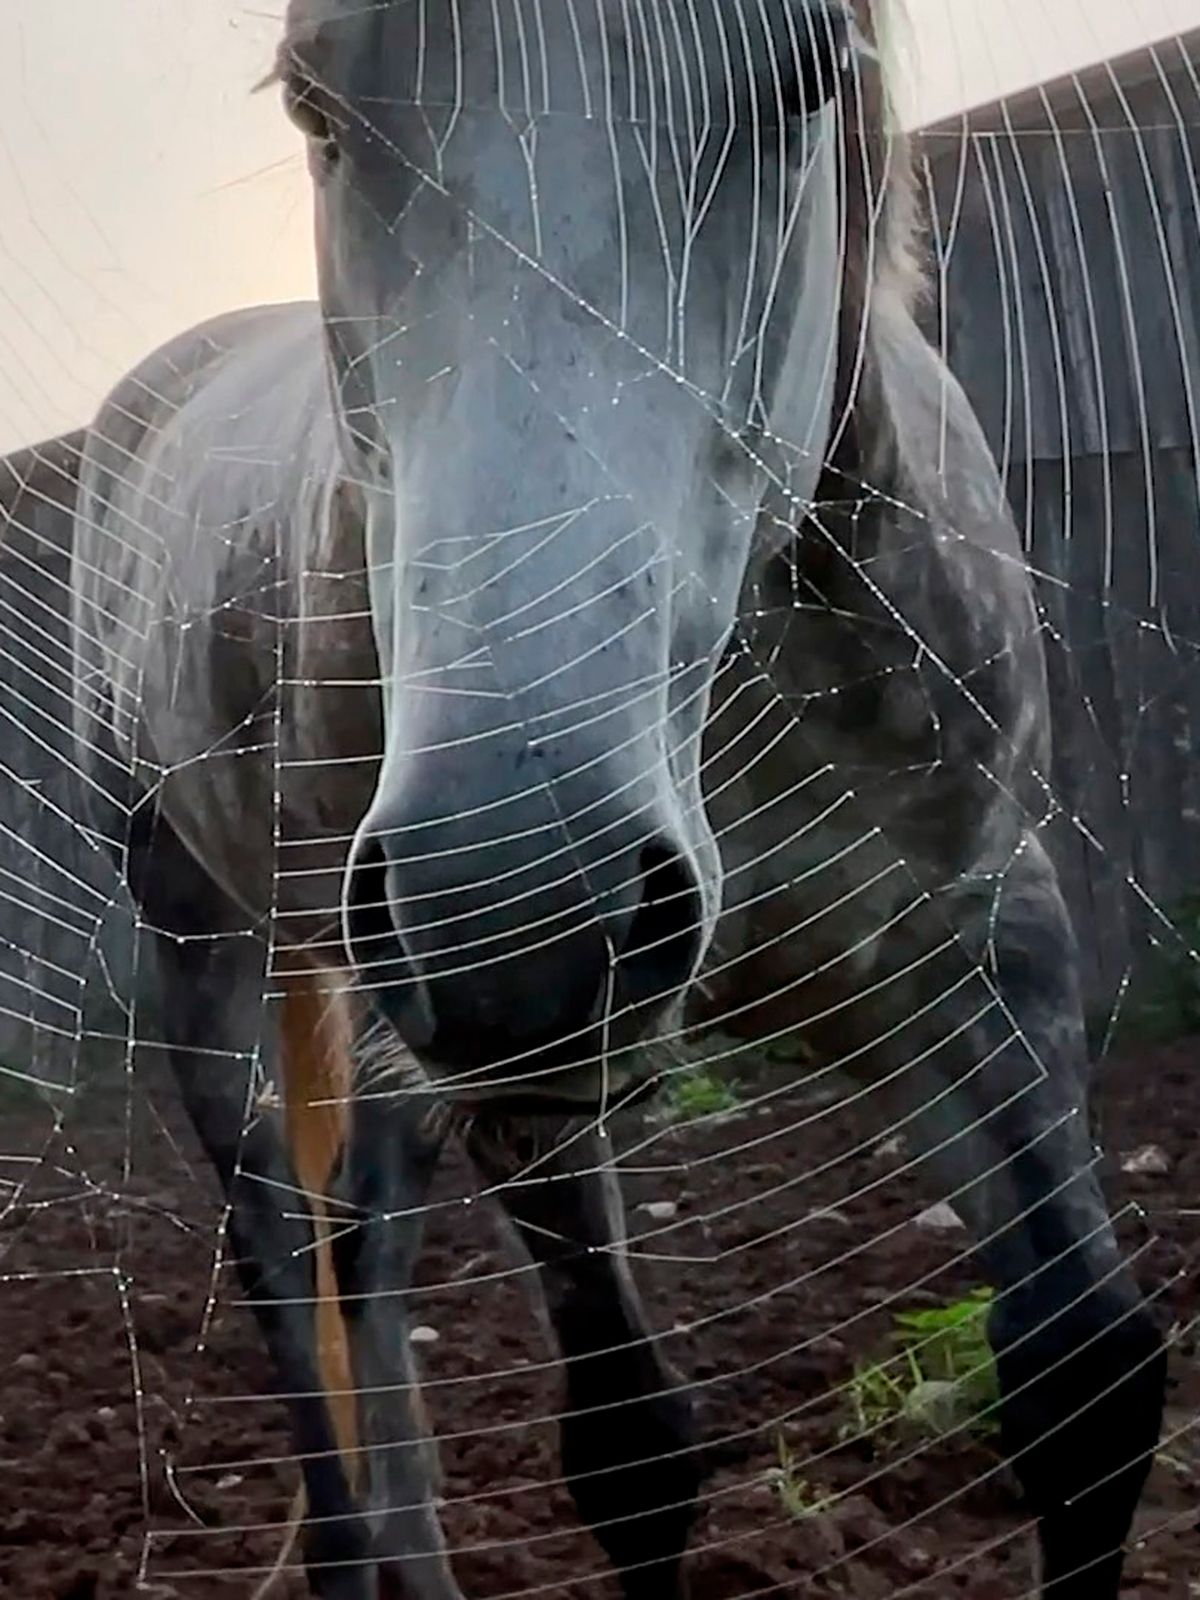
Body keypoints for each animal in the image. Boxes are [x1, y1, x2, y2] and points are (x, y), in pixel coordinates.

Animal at [10, 0, 1164, 1594]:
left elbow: (1084, 1384)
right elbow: (633, 1455)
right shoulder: (520, 1062)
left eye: (811, 70)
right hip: (214, 943)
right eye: (312, 101)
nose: (521, 910)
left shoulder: (982, 944)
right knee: (283, 1265)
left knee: (360, 1250)